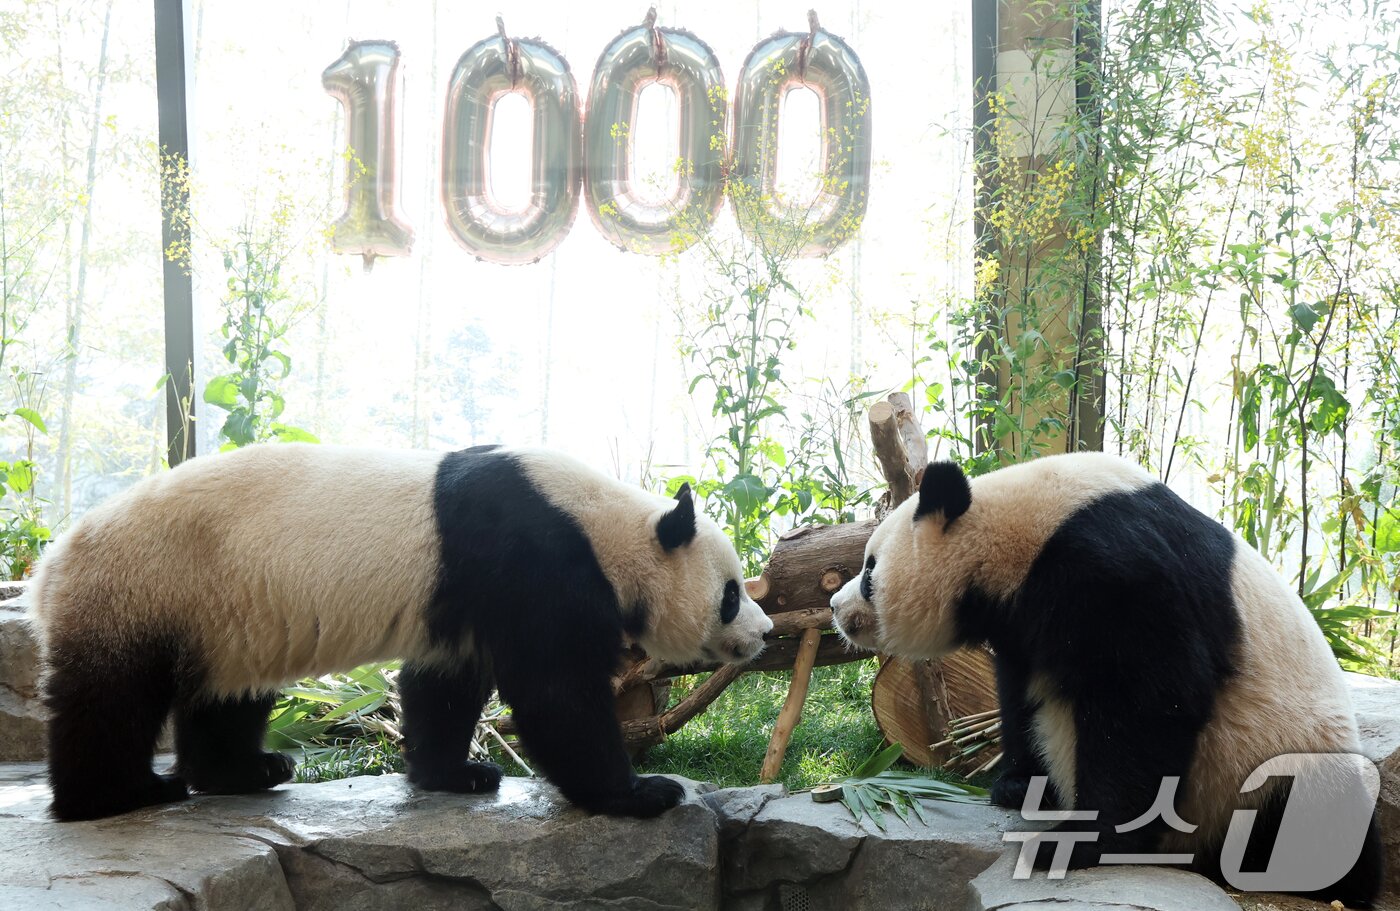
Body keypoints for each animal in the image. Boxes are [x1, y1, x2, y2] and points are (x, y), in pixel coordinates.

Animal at [31, 443, 772, 822]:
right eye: (731, 594)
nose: (764, 633)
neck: (607, 526)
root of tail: (49, 562)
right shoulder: (533, 560)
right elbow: (555, 693)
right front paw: (643, 792)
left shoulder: (464, 604)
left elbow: (444, 683)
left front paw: (456, 774)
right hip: (147, 587)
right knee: (111, 699)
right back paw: (119, 794)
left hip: (229, 615)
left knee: (228, 693)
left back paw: (245, 771)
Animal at [830, 452, 1382, 907]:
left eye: (869, 571)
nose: (835, 607)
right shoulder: (1024, 623)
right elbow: (1017, 692)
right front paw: (1019, 786)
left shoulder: (1114, 565)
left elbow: (1148, 702)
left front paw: (1075, 844)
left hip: (1279, 760)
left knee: (1317, 825)